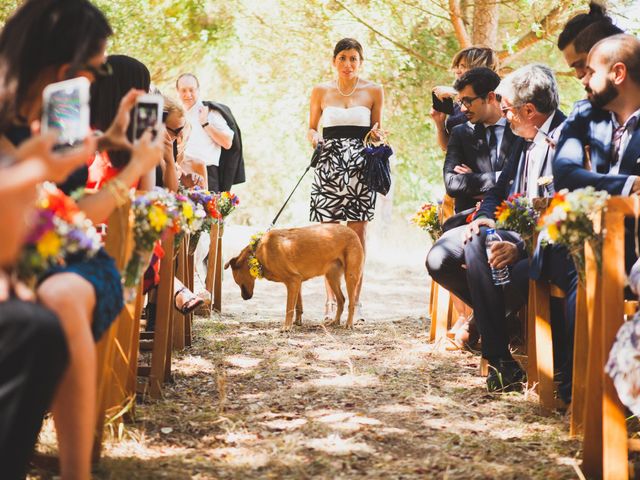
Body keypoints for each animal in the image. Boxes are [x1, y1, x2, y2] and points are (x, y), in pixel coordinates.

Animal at [225, 224, 364, 330]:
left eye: (238, 282)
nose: (245, 298)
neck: (258, 253)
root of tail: (352, 232)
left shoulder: (293, 280)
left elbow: (289, 308)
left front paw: (287, 327)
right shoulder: (297, 282)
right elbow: (298, 305)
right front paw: (297, 322)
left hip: (350, 276)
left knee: (351, 303)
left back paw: (349, 324)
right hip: (331, 278)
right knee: (341, 299)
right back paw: (335, 321)